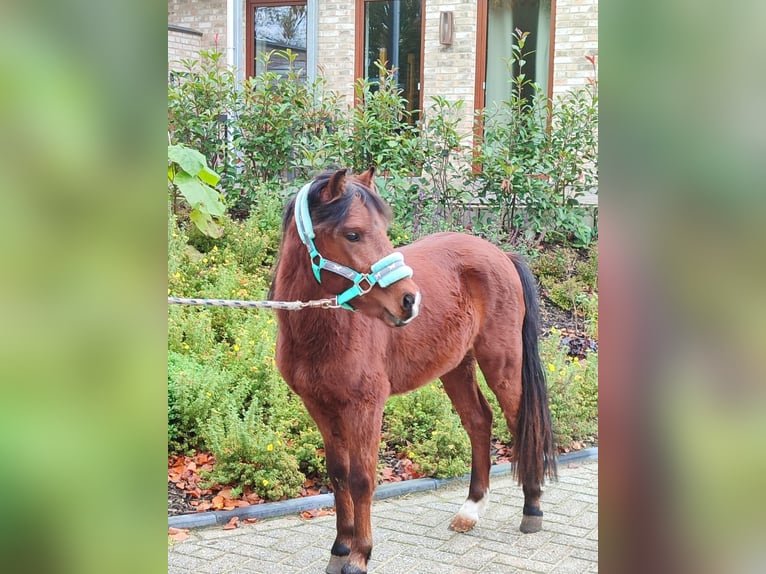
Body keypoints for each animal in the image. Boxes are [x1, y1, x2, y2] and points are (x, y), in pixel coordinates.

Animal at [272, 169, 560, 574]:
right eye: (353, 233)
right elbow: (338, 474)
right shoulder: (320, 407)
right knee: (479, 421)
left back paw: (532, 508)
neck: (325, 330)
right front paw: (340, 548)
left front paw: (359, 555)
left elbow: (361, 479)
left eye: (382, 228)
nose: (409, 300)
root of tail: (501, 254)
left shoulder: (365, 408)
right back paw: (470, 510)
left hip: (502, 365)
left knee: (521, 423)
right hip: (455, 367)